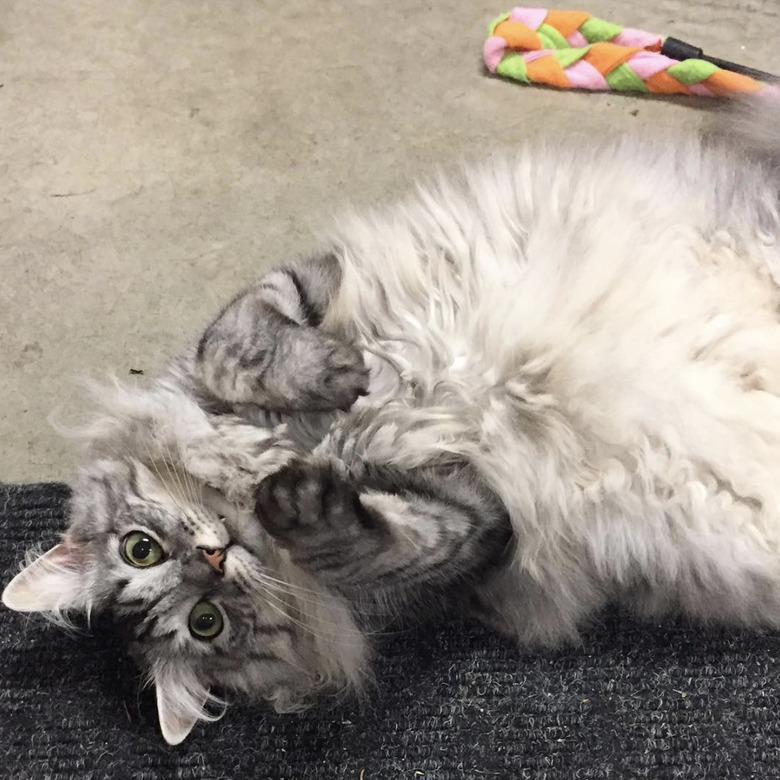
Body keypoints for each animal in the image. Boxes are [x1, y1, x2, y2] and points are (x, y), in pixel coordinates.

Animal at [4, 97, 780, 744]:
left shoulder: (292, 287)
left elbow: (233, 347)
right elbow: (382, 535)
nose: (215, 557)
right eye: (206, 621)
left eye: (140, 549)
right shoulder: (477, 530)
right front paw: (307, 504)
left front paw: (336, 376)